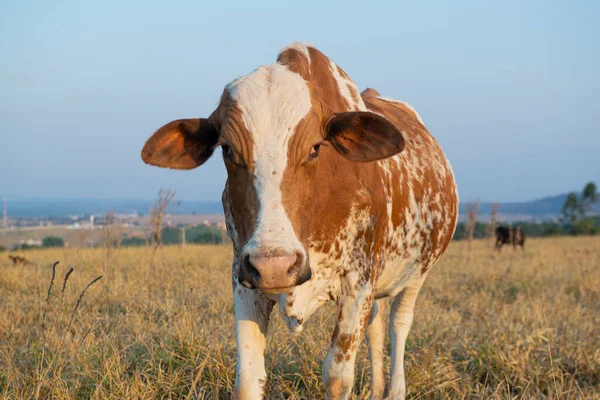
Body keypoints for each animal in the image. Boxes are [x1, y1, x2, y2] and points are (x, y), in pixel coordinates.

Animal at [142, 43, 460, 400]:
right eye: (227, 150)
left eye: (315, 148)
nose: (275, 266)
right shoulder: (243, 279)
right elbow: (248, 379)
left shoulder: (359, 281)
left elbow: (337, 376)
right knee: (377, 327)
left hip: (418, 273)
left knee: (399, 324)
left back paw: (394, 389)